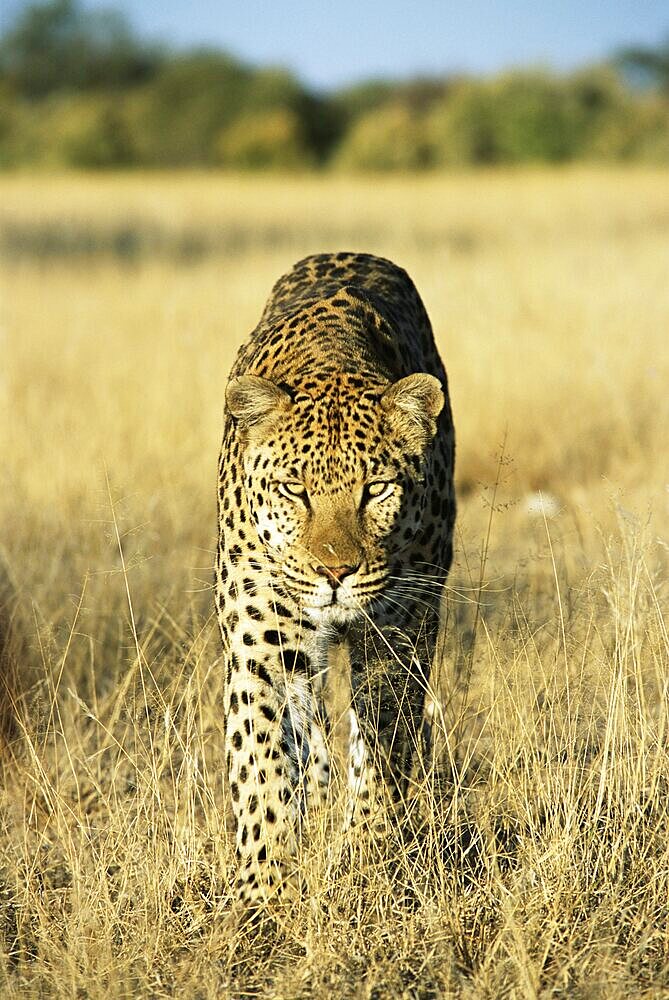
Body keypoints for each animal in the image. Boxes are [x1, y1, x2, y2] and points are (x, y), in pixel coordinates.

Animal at [214, 248, 454, 908]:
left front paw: (366, 854)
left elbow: (382, 745)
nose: (335, 572)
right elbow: (261, 760)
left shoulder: (400, 631)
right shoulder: (260, 637)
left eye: (377, 489)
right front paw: (263, 892)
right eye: (294, 490)